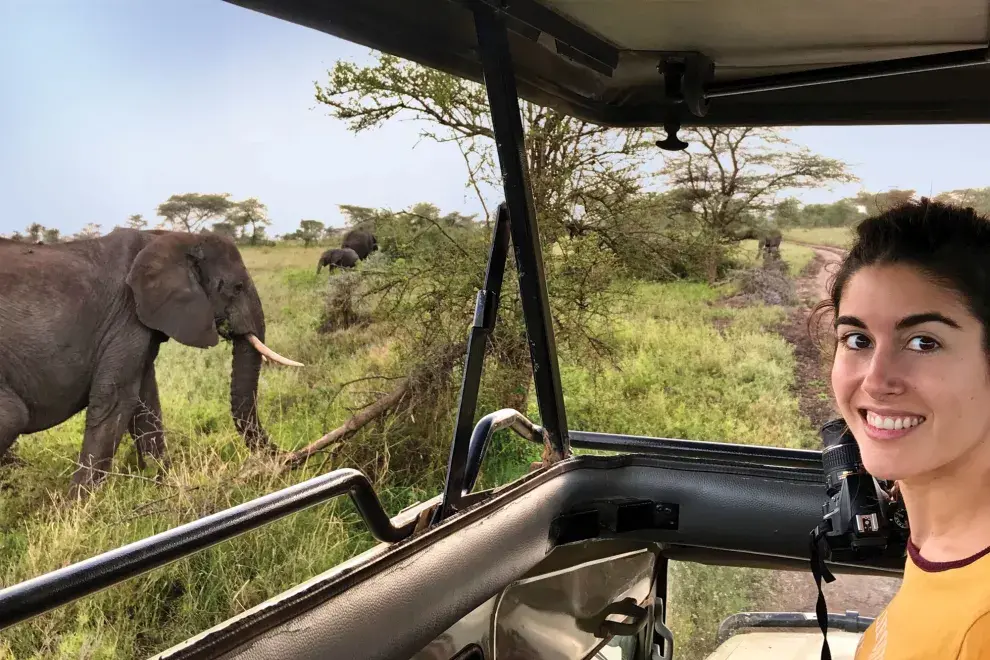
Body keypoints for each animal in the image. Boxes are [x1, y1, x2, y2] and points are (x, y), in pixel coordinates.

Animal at [0, 229, 302, 498]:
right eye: (237, 288)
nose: (292, 458)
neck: (171, 237)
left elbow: (145, 404)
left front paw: (164, 487)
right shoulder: (125, 317)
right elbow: (115, 401)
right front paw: (76, 511)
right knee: (14, 416)